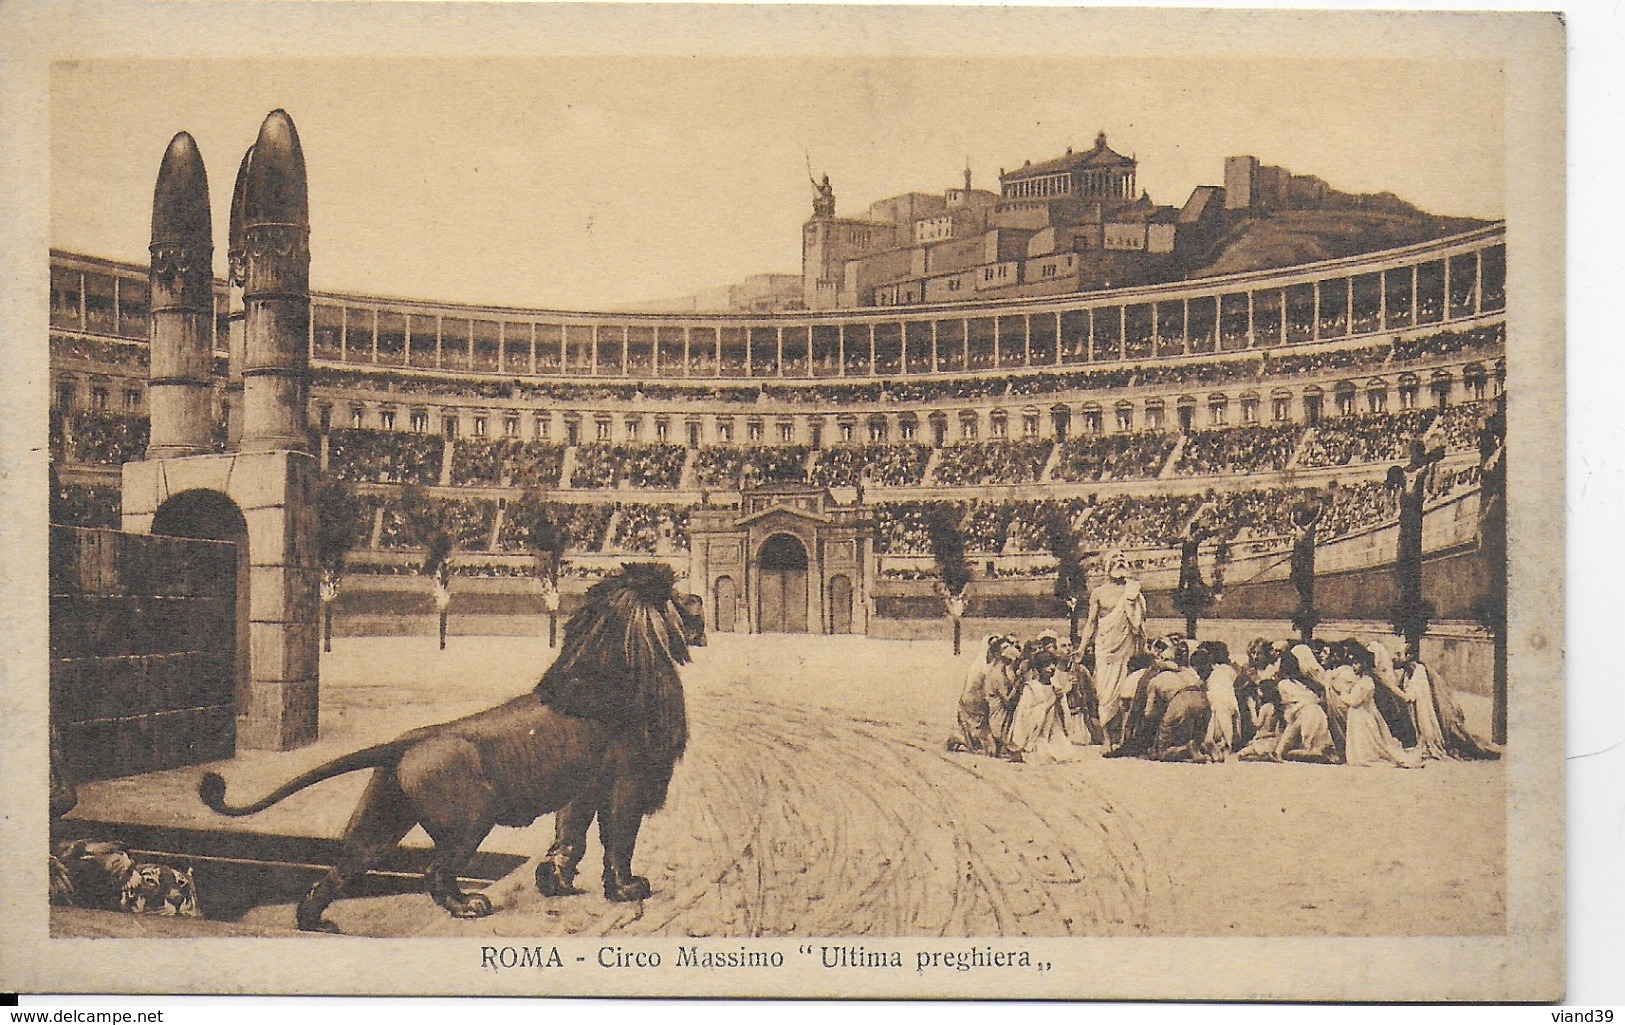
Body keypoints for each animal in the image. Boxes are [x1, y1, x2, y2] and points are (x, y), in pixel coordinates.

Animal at [198, 565, 705, 935]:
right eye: (679, 597)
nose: (699, 598)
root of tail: (407, 740)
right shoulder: (628, 783)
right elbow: (618, 840)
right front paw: (628, 889)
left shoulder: (582, 789)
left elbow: (569, 839)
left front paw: (555, 883)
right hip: (469, 822)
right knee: (434, 874)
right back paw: (468, 906)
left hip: (383, 818)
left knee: (342, 868)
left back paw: (314, 923)